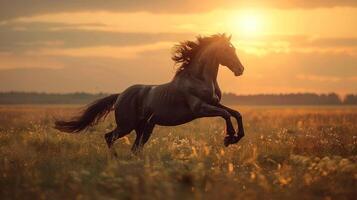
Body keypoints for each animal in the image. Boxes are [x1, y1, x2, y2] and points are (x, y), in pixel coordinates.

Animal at [55, 34, 245, 153]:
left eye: (234, 49)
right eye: (227, 50)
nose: (240, 69)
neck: (198, 78)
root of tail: (120, 95)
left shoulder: (213, 103)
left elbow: (236, 113)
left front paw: (238, 136)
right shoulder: (199, 109)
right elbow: (226, 114)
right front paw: (229, 138)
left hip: (144, 128)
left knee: (135, 148)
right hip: (127, 125)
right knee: (109, 137)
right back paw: (115, 159)